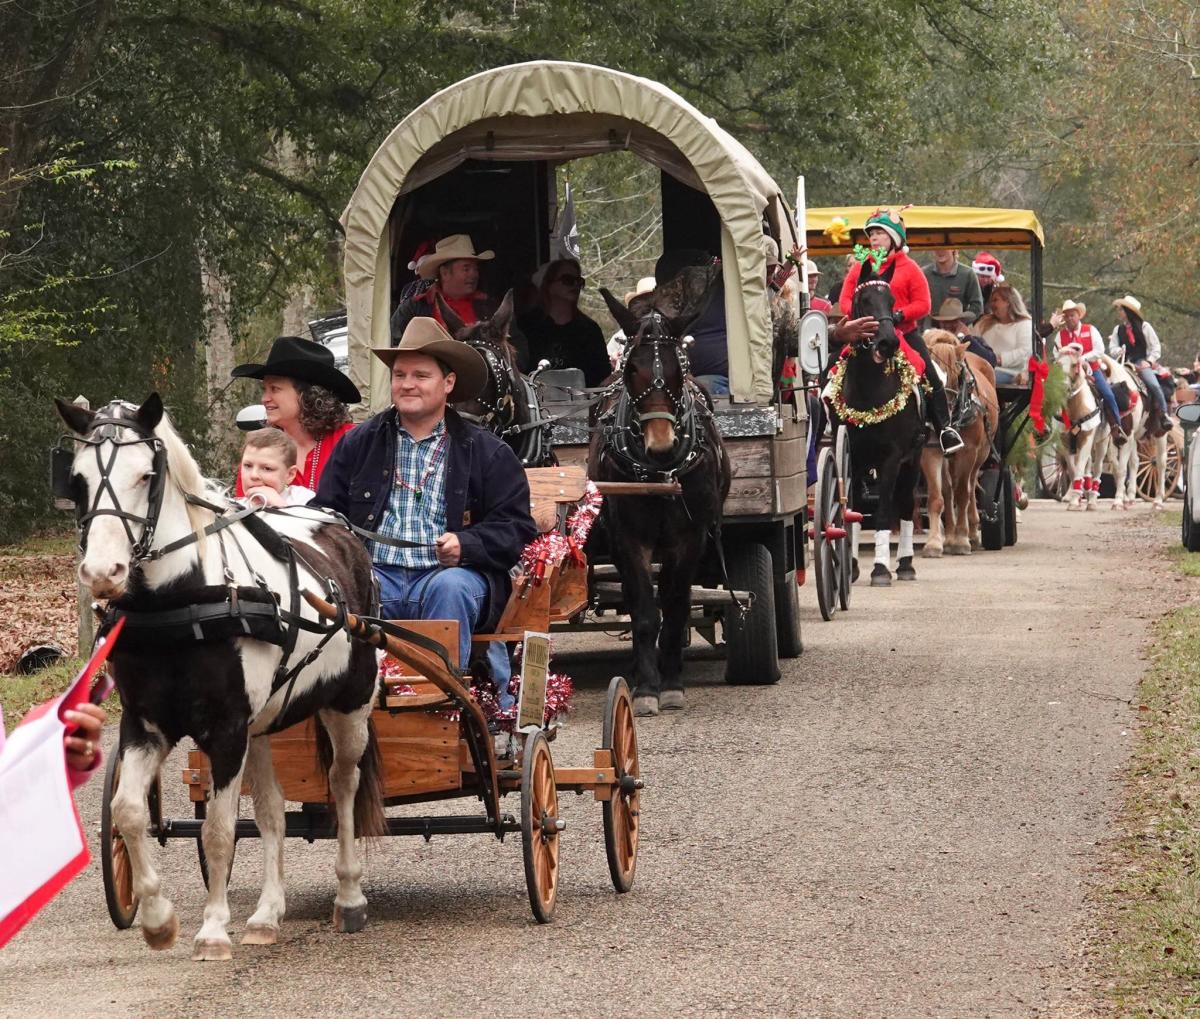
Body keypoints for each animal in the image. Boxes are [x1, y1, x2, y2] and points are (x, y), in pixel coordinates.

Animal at [55, 393, 384, 960]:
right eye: (76, 480)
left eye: (146, 475)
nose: (102, 572)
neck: (183, 602)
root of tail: (338, 527)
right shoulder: (147, 726)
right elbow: (128, 811)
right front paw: (158, 920)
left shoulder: (227, 730)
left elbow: (217, 829)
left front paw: (211, 930)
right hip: (264, 724)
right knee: (273, 810)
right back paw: (267, 916)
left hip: (349, 705)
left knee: (344, 783)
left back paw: (348, 896)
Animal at [592, 274, 724, 710]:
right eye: (631, 367)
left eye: (678, 367)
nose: (661, 444)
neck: (661, 472)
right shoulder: (629, 539)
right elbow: (646, 611)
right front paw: (648, 687)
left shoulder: (691, 538)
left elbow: (678, 605)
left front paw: (672, 684)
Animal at [835, 258, 926, 583]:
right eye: (864, 300)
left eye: (892, 301)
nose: (887, 342)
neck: (868, 392)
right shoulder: (853, 458)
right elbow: (853, 511)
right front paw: (850, 567)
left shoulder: (892, 457)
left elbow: (885, 511)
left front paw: (880, 568)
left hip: (914, 460)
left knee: (906, 505)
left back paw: (906, 564)